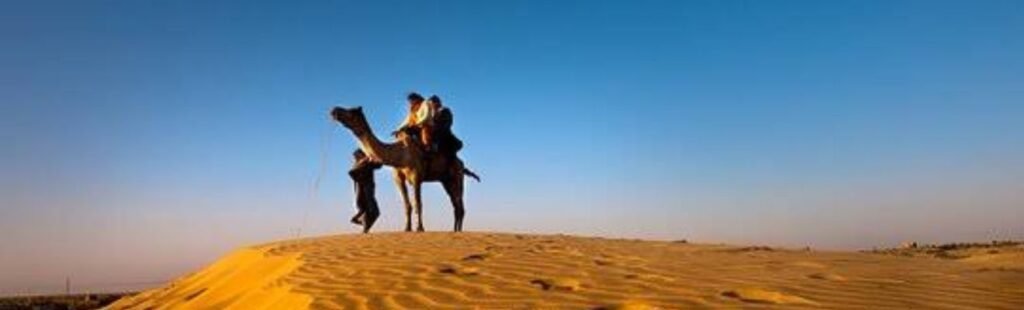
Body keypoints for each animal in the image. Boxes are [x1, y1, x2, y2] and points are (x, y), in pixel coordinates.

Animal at [331, 105, 483, 232]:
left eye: (351, 111)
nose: (334, 110)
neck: (400, 154)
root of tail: (462, 164)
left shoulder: (416, 177)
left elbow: (418, 203)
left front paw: (420, 228)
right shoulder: (398, 178)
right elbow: (407, 205)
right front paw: (407, 228)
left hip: (457, 177)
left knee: (459, 205)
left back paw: (458, 231)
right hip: (446, 181)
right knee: (456, 205)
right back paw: (455, 230)